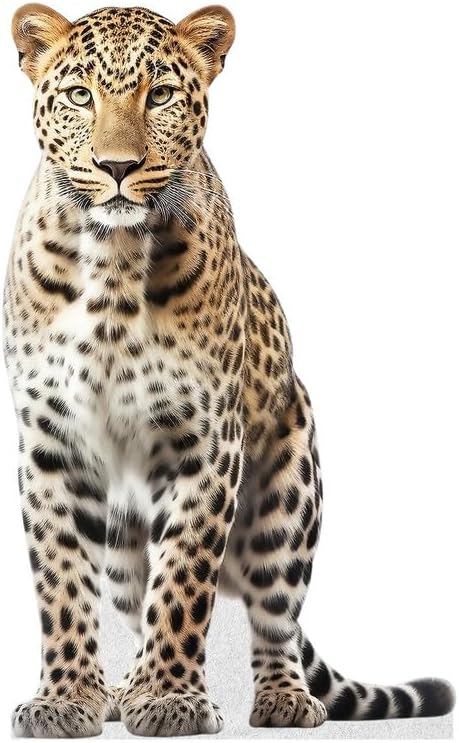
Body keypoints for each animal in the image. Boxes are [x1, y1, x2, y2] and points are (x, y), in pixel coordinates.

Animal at [4, 3, 455, 738]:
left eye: (159, 95)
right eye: (79, 96)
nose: (117, 166)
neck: (112, 263)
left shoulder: (205, 441)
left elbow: (184, 580)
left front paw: (172, 699)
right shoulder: (51, 444)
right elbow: (63, 582)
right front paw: (66, 698)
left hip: (290, 497)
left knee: (275, 616)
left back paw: (280, 696)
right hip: (123, 543)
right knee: (136, 598)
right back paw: (121, 687)